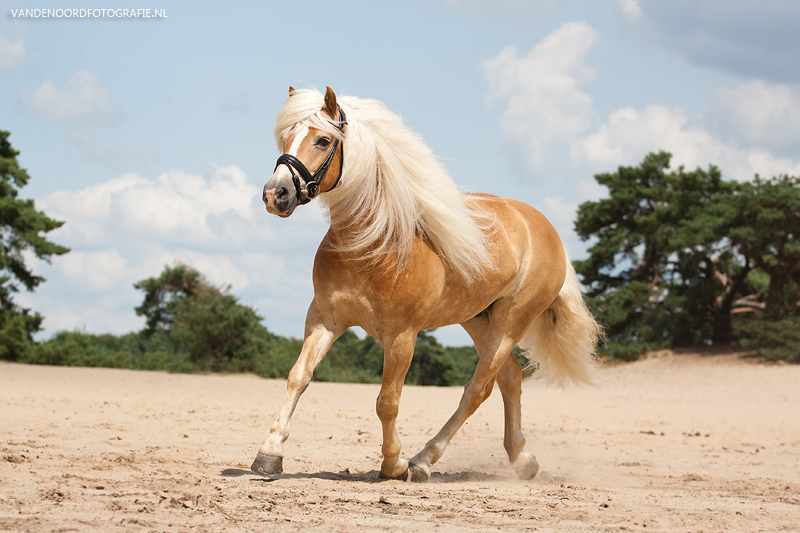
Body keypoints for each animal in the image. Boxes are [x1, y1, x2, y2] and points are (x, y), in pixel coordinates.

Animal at [252, 85, 600, 480]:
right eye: (285, 136)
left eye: (323, 140)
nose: (275, 194)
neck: (370, 242)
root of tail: (545, 227)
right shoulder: (325, 318)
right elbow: (299, 376)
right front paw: (269, 453)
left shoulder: (402, 336)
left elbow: (387, 401)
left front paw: (394, 464)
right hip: (477, 318)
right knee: (510, 377)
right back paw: (521, 459)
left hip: (511, 321)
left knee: (478, 389)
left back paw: (422, 460)